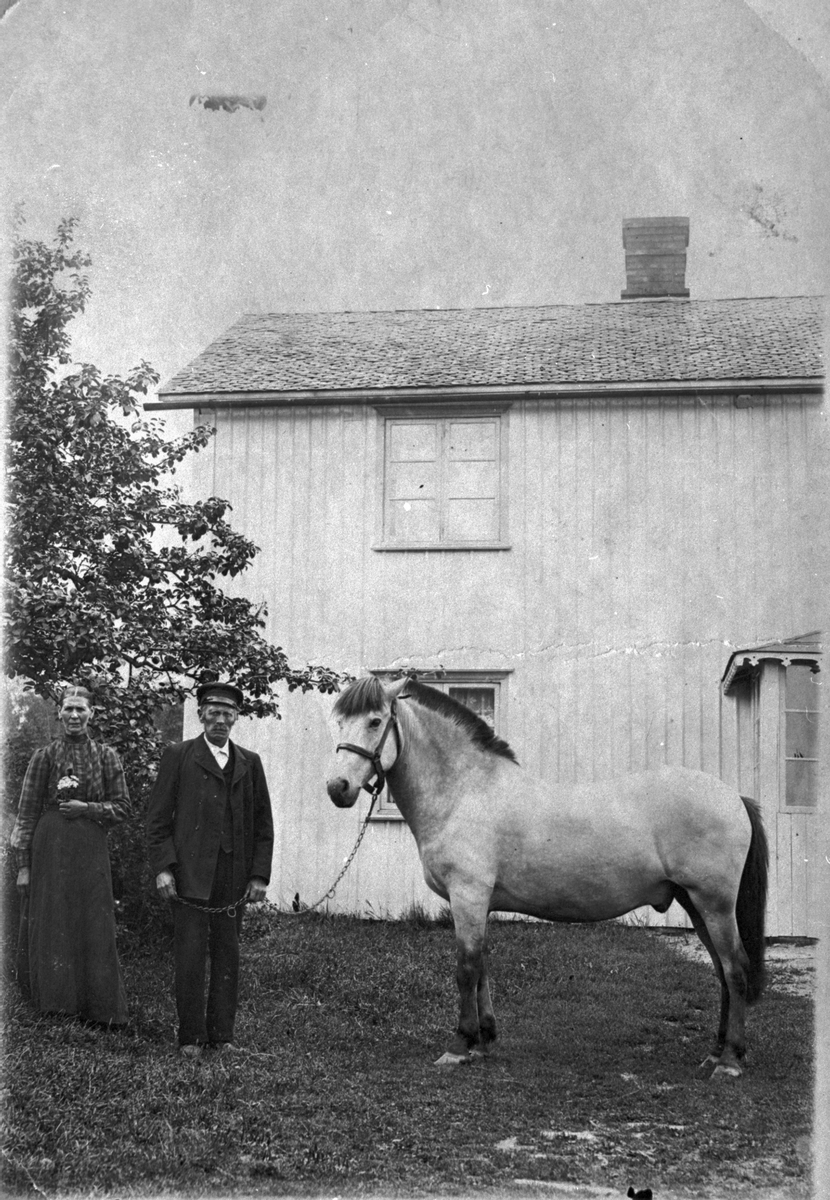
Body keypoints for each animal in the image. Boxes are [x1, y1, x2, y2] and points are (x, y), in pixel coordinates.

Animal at [326, 675, 769, 1078]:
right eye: (339, 722)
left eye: (375, 721)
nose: (337, 787)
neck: (466, 792)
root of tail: (733, 797)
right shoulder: (477, 904)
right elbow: (481, 966)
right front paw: (485, 1040)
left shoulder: (468, 896)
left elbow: (465, 968)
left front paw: (460, 1044)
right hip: (694, 903)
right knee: (721, 971)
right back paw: (715, 1052)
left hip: (713, 904)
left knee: (735, 968)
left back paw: (730, 1061)